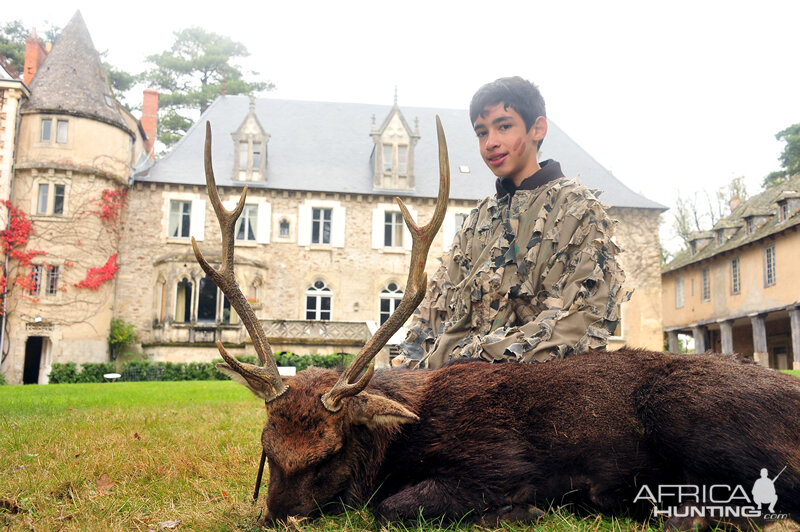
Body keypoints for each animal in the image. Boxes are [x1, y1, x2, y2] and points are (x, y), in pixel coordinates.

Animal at [194, 121, 800, 532]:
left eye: (330, 451)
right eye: (268, 448)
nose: (276, 518)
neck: (400, 443)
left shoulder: (498, 459)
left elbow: (391, 508)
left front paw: (519, 511)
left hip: (693, 413)